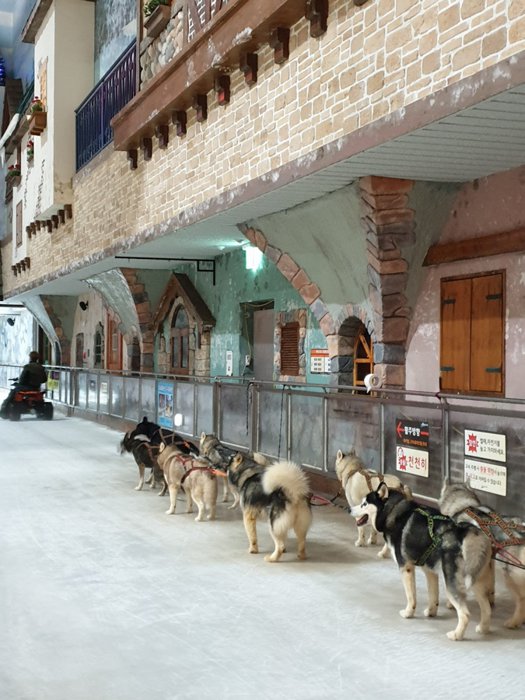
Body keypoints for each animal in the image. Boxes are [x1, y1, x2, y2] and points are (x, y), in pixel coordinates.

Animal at [350, 483, 493, 641]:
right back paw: (483, 629)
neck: (392, 511)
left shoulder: (405, 567)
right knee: (487, 609)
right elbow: (433, 596)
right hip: (477, 582)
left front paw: (408, 613)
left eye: (364, 504)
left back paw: (456, 635)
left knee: (465, 613)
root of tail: (468, 533)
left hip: (452, 583)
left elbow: (411, 596)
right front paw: (431, 612)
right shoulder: (430, 571)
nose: (350, 509)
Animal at [439, 480, 525, 629]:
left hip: (509, 576)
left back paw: (514, 621)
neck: (464, 505)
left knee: (521, 600)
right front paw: (490, 598)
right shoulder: (487, 562)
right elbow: (490, 584)